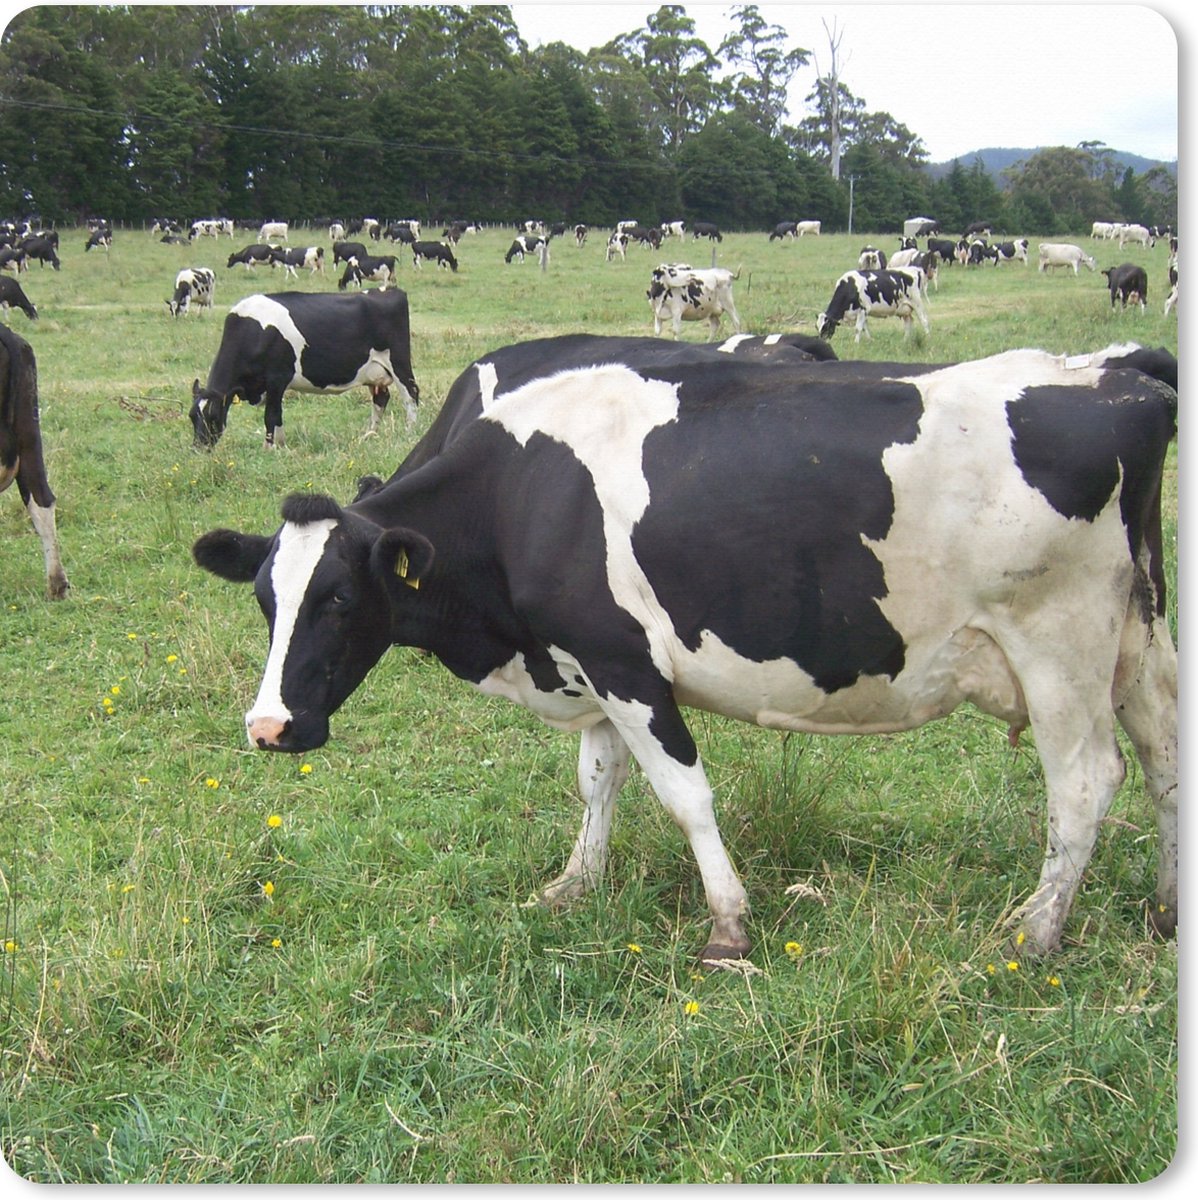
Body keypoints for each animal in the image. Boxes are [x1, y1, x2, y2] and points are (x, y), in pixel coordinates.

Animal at [188, 290, 420, 449]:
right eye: (192, 417)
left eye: (213, 416)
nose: (199, 448)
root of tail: (389, 290)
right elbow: (277, 416)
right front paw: (281, 444)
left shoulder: (277, 378)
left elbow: (271, 414)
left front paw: (269, 447)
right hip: (375, 372)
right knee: (381, 399)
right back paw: (369, 435)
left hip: (398, 361)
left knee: (411, 394)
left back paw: (410, 432)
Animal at [191, 337, 1179, 966]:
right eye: (265, 598)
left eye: (340, 598)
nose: (270, 727)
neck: (522, 496)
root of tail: (1113, 373)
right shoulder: (586, 661)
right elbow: (598, 781)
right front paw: (573, 885)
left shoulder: (624, 662)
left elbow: (685, 795)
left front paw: (728, 928)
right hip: (1139, 636)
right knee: (1167, 761)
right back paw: (1168, 911)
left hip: (1059, 646)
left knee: (1087, 782)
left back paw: (1035, 931)